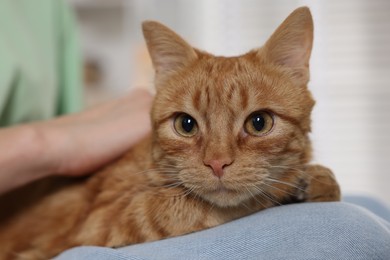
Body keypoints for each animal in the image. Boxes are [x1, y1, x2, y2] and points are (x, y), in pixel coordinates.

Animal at [0, 7, 338, 258]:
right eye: (185, 124)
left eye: (259, 123)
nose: (217, 163)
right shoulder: (102, 219)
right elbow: (182, 207)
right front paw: (298, 183)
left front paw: (318, 180)